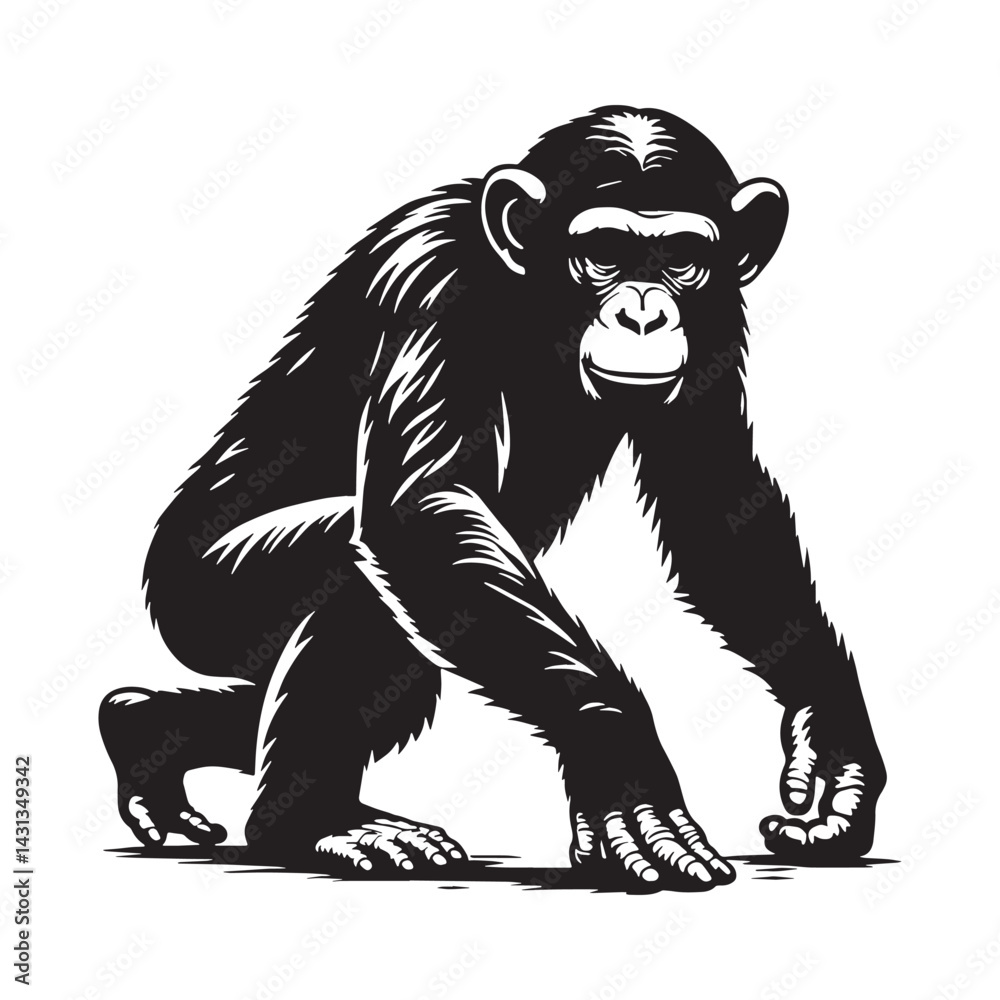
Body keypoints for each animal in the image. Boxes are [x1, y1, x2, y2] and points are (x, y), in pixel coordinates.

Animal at [100, 107, 884, 889]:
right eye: (603, 252)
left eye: (682, 258)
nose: (643, 315)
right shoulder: (435, 281)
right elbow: (422, 506)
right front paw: (624, 766)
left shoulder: (718, 312)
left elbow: (715, 501)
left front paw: (832, 744)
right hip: (205, 595)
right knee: (357, 585)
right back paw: (314, 823)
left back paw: (146, 731)